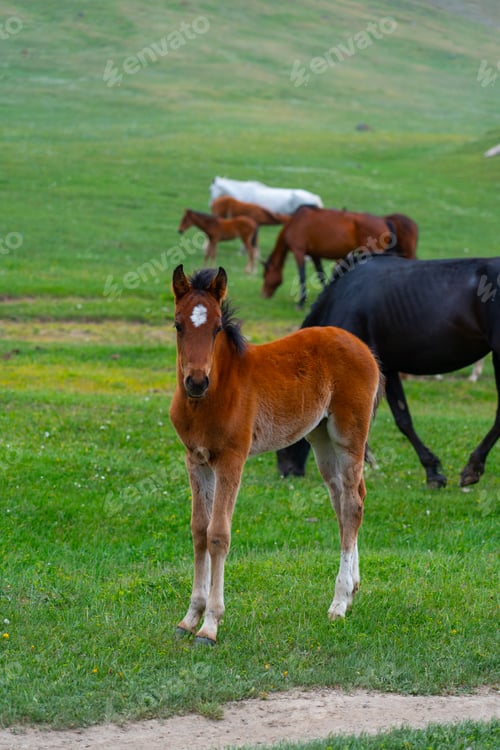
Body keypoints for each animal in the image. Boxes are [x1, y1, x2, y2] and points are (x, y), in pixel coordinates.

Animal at [170, 264, 382, 644]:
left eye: (216, 328)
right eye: (178, 325)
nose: (195, 381)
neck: (213, 395)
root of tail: (363, 348)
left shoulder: (231, 460)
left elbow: (218, 534)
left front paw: (210, 625)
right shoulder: (195, 460)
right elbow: (198, 530)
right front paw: (189, 618)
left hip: (349, 435)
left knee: (353, 505)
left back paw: (338, 603)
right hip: (321, 439)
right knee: (345, 500)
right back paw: (352, 590)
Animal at [261, 205, 417, 308]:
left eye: (265, 275)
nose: (264, 294)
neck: (295, 222)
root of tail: (384, 220)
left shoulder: (298, 251)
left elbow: (302, 276)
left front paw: (300, 302)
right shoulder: (315, 255)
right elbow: (321, 275)